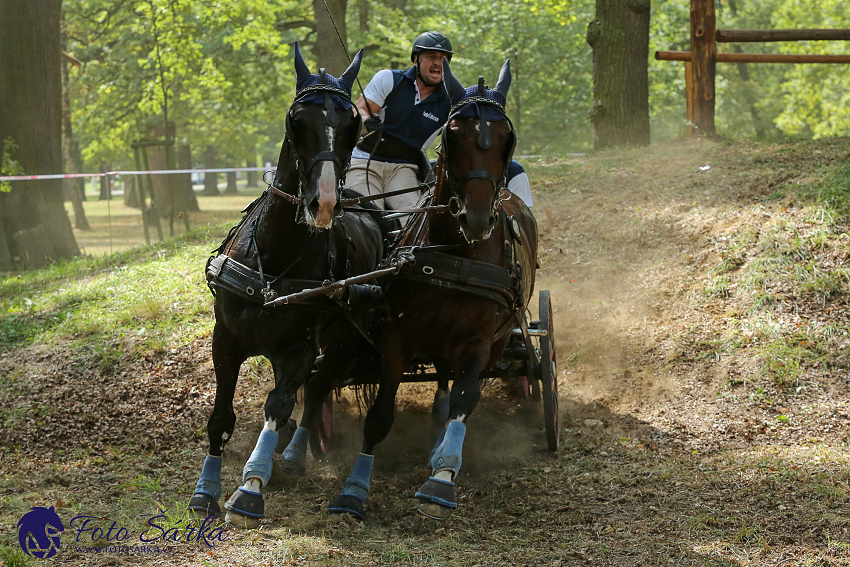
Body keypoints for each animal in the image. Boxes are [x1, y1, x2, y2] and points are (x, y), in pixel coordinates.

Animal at [189, 42, 384, 532]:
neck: (274, 264)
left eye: (353, 122)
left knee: (317, 387)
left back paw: (292, 455)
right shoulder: (226, 341)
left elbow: (278, 406)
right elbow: (221, 416)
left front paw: (250, 488)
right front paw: (206, 490)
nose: (325, 202)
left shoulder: (297, 350)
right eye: (296, 119)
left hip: (346, 337)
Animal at [318, 60, 536, 520]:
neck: (453, 254)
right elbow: (380, 415)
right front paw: (352, 492)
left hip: (497, 340)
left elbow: (465, 401)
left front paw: (441, 481)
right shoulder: (397, 338)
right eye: (453, 133)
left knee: (457, 392)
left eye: (506, 137)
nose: (476, 218)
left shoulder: (477, 342)